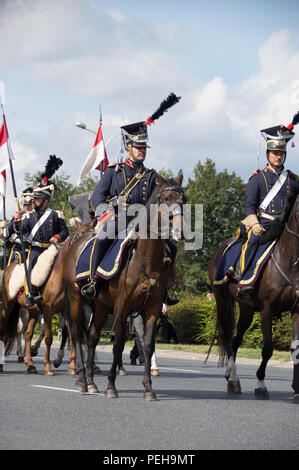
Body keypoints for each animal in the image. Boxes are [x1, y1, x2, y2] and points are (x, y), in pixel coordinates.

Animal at [0, 219, 95, 374]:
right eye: (82, 233)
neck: (60, 276)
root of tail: (9, 267)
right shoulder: (49, 311)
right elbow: (49, 337)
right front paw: (48, 366)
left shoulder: (66, 311)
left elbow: (71, 334)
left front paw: (72, 366)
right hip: (8, 305)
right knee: (4, 329)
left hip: (32, 311)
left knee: (27, 333)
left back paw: (30, 363)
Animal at [63, 171, 185, 398]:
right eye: (165, 198)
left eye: (184, 199)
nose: (179, 231)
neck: (146, 259)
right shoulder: (122, 306)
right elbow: (118, 344)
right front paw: (111, 386)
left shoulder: (153, 307)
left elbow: (148, 345)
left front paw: (148, 388)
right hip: (76, 300)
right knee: (76, 335)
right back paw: (82, 379)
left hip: (100, 306)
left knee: (92, 336)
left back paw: (91, 382)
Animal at [209, 189, 299, 402]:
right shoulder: (267, 310)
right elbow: (267, 349)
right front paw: (260, 385)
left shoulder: (297, 311)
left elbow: (295, 349)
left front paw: (297, 389)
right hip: (222, 299)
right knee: (227, 336)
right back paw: (233, 380)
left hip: (247, 308)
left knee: (235, 338)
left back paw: (231, 375)